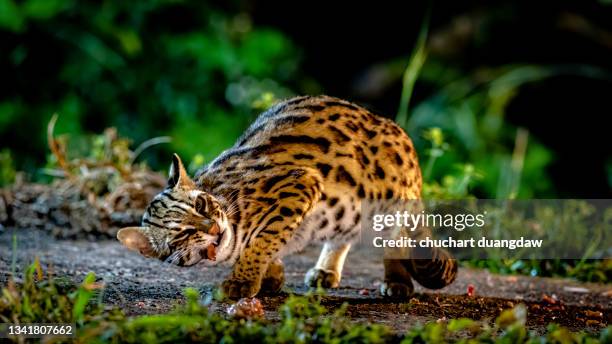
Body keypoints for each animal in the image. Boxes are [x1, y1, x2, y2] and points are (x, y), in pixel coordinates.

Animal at [117, 94, 456, 298]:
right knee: (346, 233)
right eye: (181, 235)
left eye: (202, 204)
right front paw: (269, 275)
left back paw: (397, 280)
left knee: (395, 238)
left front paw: (243, 280)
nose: (213, 228)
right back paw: (327, 269)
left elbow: (263, 241)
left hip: (391, 200)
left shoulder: (299, 183)